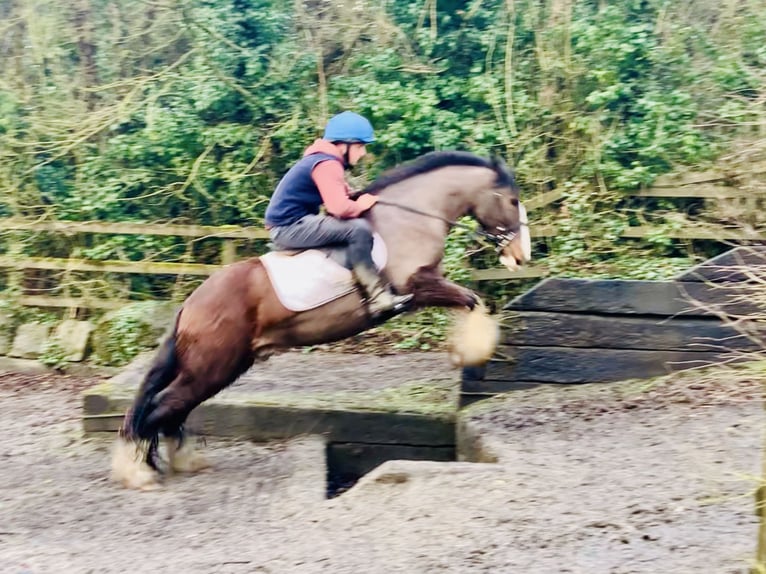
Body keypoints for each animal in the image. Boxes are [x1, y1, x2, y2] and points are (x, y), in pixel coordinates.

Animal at [114, 152, 532, 490]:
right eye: (512, 200)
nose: (520, 255)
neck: (407, 218)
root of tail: (190, 306)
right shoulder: (418, 285)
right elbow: (473, 301)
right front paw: (473, 350)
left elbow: (471, 302)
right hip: (212, 365)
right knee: (163, 406)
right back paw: (138, 472)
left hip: (222, 366)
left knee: (174, 408)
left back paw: (180, 462)